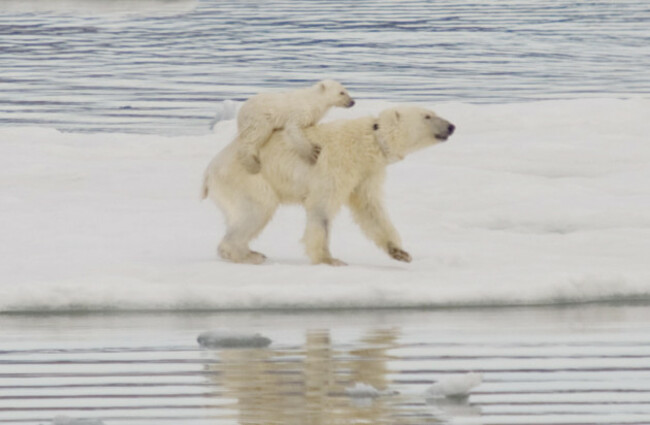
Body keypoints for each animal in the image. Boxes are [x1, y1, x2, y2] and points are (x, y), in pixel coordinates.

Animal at [201, 105, 450, 264]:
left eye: (434, 113)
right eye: (428, 116)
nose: (451, 127)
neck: (368, 142)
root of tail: (209, 171)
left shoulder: (367, 173)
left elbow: (370, 208)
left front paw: (400, 252)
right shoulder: (337, 165)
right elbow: (322, 208)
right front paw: (328, 259)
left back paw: (251, 251)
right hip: (248, 177)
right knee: (258, 209)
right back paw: (245, 254)